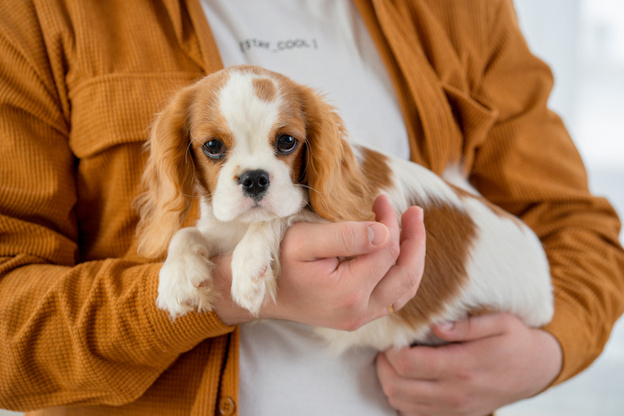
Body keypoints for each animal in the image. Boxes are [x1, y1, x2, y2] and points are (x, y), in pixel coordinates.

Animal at [134, 65, 552, 352]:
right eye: (212, 147)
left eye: (287, 142)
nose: (254, 178)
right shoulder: (221, 225)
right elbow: (187, 232)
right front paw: (180, 275)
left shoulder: (371, 222)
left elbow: (292, 211)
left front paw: (251, 261)